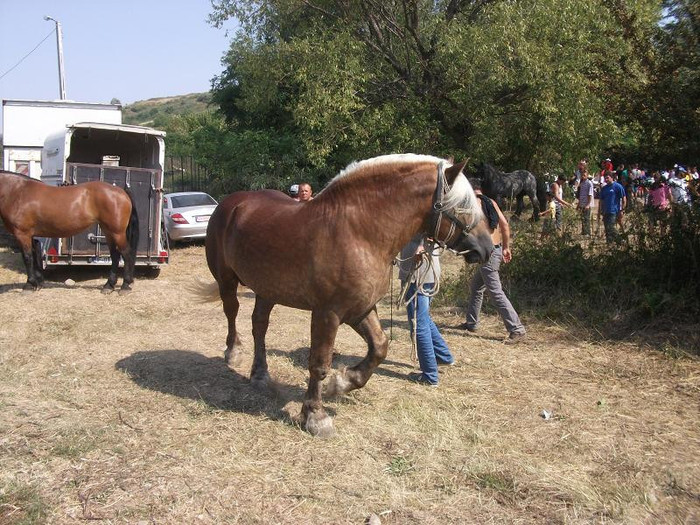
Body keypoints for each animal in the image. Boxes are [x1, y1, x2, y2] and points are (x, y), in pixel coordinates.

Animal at [0, 170, 139, 292]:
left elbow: (27, 258)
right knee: (115, 255)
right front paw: (38, 282)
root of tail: (121, 191)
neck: (18, 192)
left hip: (117, 233)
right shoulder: (31, 235)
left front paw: (29, 285)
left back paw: (125, 285)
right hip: (108, 231)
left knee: (126, 254)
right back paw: (109, 286)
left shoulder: (22, 234)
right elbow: (34, 255)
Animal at [198, 154, 492, 436]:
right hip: (227, 280)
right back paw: (233, 352)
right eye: (462, 206)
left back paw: (260, 375)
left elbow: (379, 347)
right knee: (232, 311)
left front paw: (342, 383)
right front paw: (315, 416)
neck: (358, 233)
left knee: (259, 325)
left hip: (267, 289)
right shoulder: (328, 313)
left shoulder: (360, 309)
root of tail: (231, 203)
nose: (487, 248)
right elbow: (319, 363)